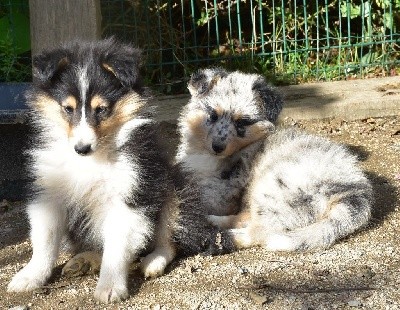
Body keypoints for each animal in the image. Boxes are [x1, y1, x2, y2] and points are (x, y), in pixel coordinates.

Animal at [8, 38, 222, 302]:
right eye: (68, 108)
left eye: (101, 109)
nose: (81, 148)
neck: (92, 159)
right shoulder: (49, 192)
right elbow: (44, 241)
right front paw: (29, 277)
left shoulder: (129, 195)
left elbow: (116, 249)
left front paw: (110, 288)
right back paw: (84, 260)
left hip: (175, 190)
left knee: (169, 240)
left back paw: (153, 261)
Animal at [177, 68, 374, 252]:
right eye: (213, 115)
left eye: (241, 123)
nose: (217, 147)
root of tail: (352, 192)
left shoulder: (222, 188)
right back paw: (214, 221)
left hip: (271, 189)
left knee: (259, 232)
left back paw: (220, 239)